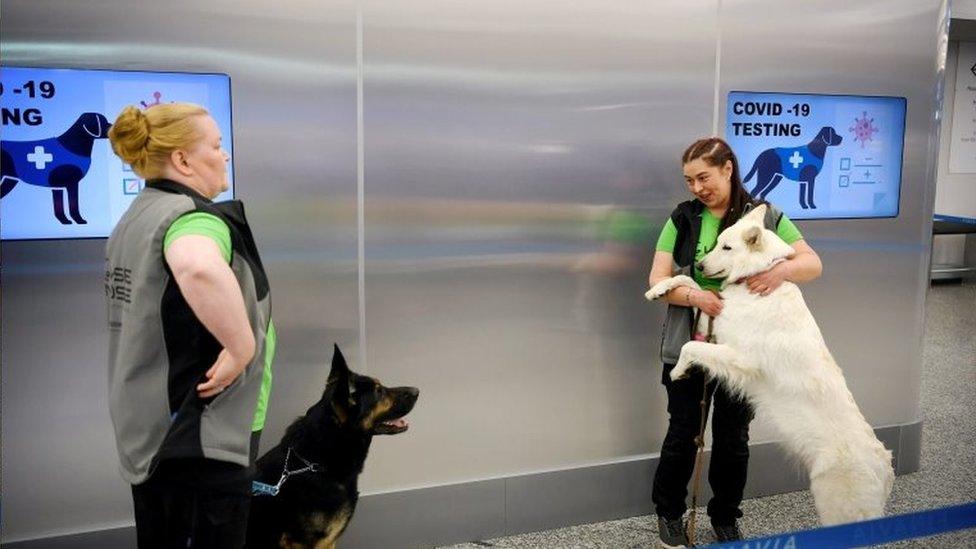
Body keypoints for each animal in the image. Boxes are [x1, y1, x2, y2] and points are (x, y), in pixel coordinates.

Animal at [648, 203, 892, 524]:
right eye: (717, 242)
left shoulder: (740, 356)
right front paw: (659, 289)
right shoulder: (716, 320)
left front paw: (678, 370)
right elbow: (692, 287)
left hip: (834, 507)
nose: (699, 266)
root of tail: (885, 467)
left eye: (727, 247)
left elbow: (690, 345)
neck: (756, 276)